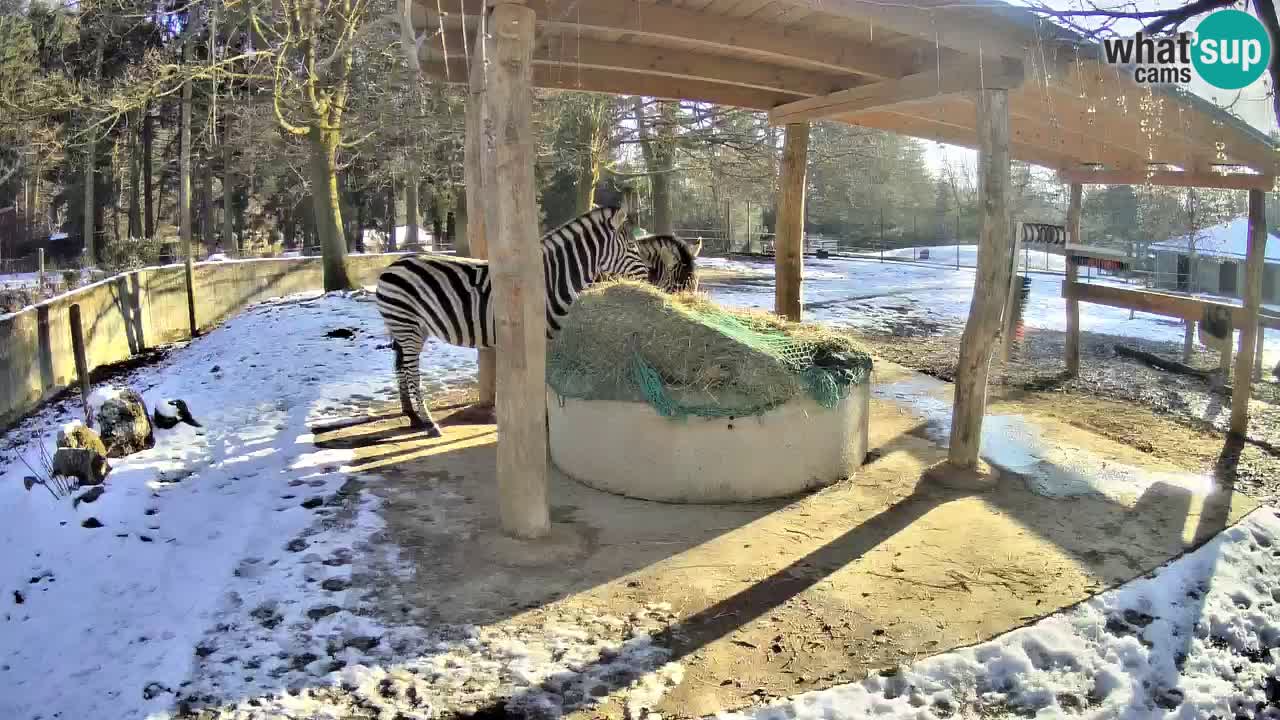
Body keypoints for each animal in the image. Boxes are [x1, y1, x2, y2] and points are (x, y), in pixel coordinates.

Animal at [373, 204, 696, 435]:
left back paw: (413, 418)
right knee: (411, 371)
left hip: (410, 328)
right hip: (408, 325)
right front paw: (543, 419)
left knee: (400, 367)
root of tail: (391, 266)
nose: (654, 286)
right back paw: (428, 423)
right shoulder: (545, 333)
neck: (555, 280)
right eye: (631, 249)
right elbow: (542, 380)